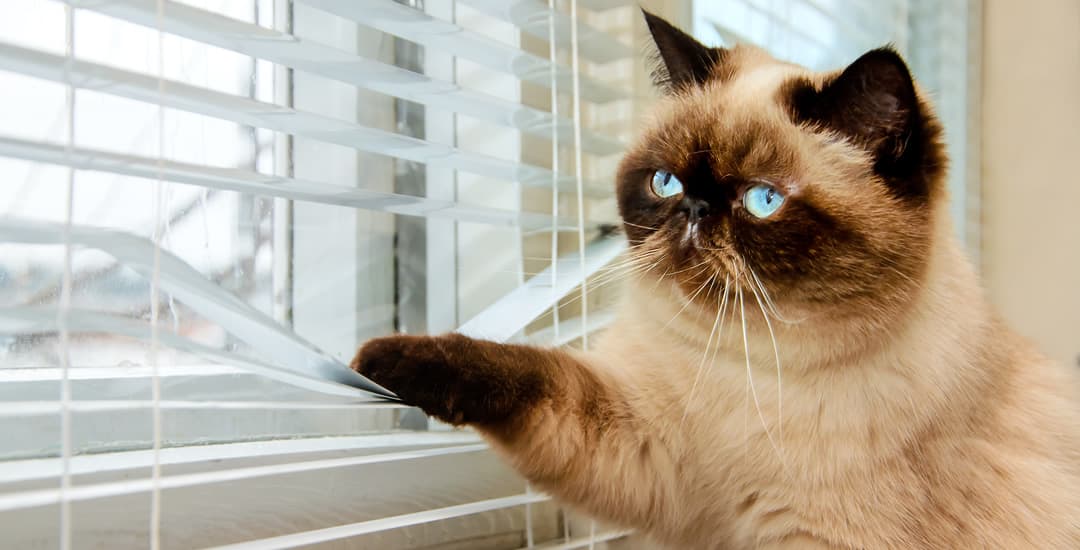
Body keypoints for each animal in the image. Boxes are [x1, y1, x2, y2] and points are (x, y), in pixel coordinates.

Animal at [352, 9, 1080, 548]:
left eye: (762, 200)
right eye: (665, 182)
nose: (695, 212)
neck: (746, 366)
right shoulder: (641, 445)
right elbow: (529, 373)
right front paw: (382, 361)